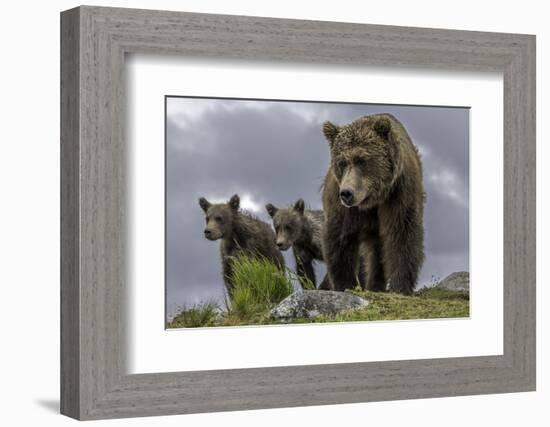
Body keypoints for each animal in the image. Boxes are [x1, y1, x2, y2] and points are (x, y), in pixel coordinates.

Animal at [324, 113, 426, 294]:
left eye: (362, 160)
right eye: (342, 162)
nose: (346, 193)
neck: (372, 199)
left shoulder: (399, 193)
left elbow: (403, 235)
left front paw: (400, 286)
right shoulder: (341, 204)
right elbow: (340, 238)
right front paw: (345, 284)